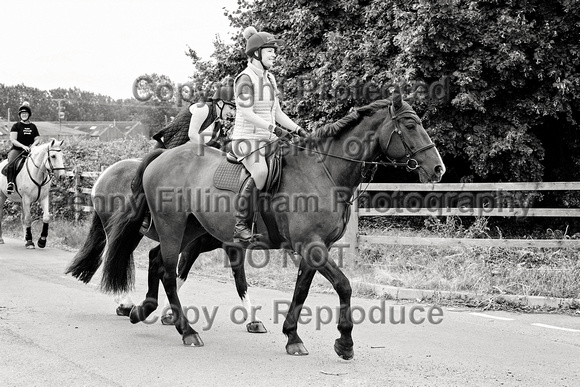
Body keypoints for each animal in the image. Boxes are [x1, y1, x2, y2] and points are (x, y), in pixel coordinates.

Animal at [101, 91, 444, 360]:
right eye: (410, 125)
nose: (439, 169)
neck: (323, 172)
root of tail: (163, 156)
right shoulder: (312, 245)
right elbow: (344, 286)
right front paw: (344, 342)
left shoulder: (315, 247)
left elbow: (301, 290)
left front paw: (292, 337)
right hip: (172, 227)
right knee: (168, 272)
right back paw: (185, 330)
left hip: (192, 229)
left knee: (157, 260)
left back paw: (143, 310)